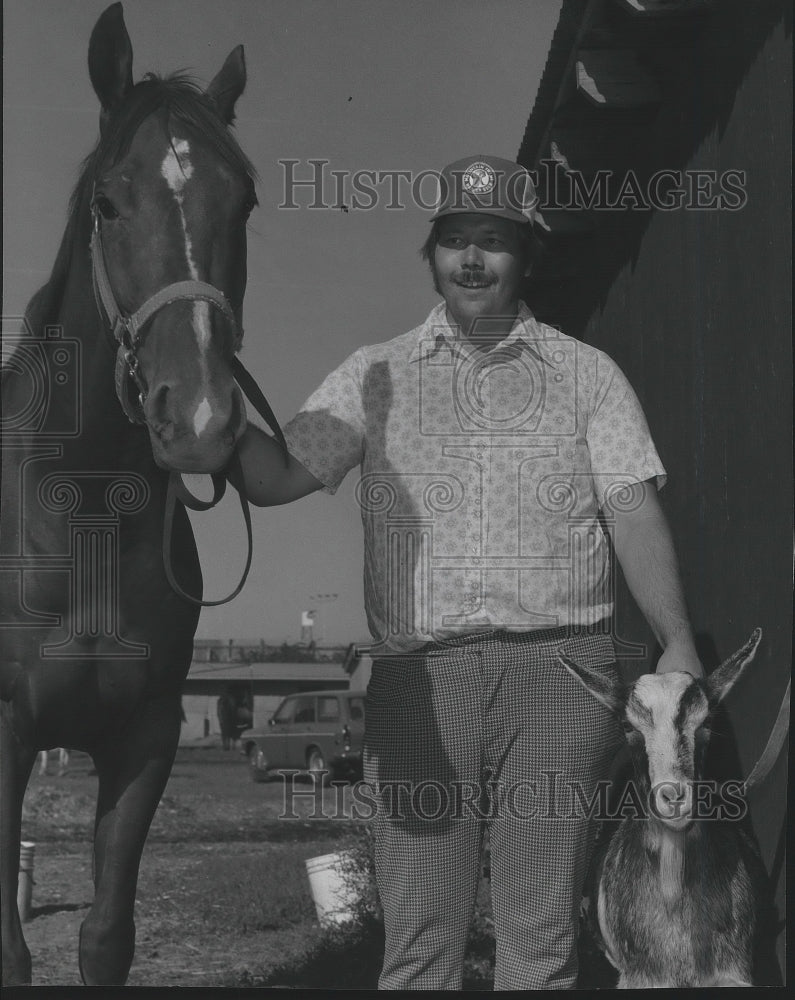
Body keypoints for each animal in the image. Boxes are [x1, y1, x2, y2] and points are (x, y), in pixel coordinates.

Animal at [0, 1, 264, 984]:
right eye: (109, 203)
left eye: (244, 201)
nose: (200, 417)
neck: (78, 514)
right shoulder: (7, 732)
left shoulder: (145, 736)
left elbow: (106, 937)